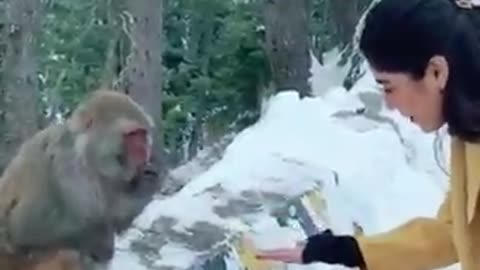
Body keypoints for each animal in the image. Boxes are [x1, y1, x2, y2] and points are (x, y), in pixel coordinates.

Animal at [0, 90, 160, 268]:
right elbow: (25, 226)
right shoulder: (67, 165)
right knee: (68, 252)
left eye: (142, 135)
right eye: (132, 135)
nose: (144, 149)